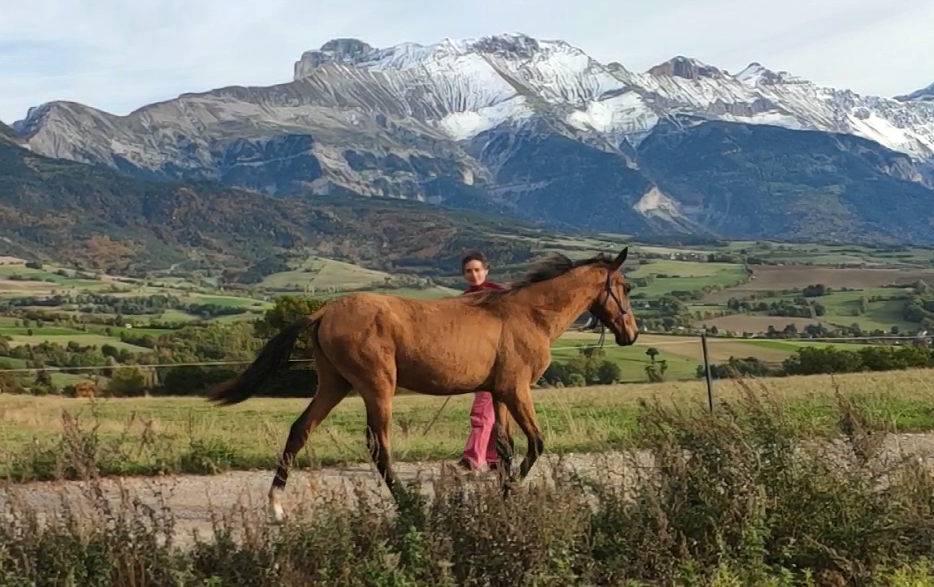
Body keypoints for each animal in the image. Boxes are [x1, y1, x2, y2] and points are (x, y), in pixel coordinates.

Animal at [210, 248, 638, 521]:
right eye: (627, 288)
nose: (631, 334)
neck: (529, 314)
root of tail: (324, 311)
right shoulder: (518, 391)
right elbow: (535, 444)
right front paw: (511, 492)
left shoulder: (500, 393)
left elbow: (505, 448)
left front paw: (503, 498)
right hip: (377, 388)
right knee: (378, 447)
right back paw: (406, 504)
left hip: (333, 385)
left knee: (300, 430)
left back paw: (276, 506)